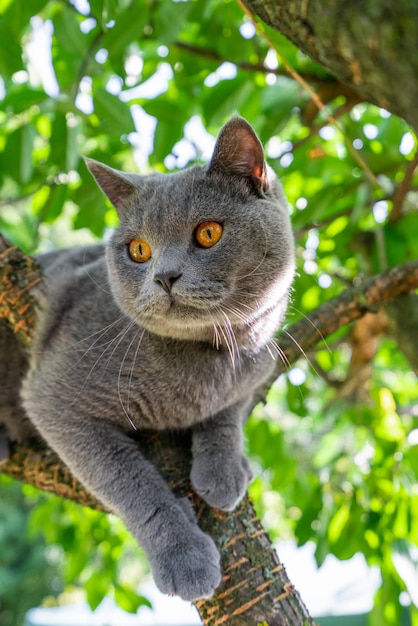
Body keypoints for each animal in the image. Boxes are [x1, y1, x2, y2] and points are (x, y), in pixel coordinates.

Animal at [0, 116, 294, 600]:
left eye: (208, 233)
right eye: (139, 250)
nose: (165, 276)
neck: (212, 356)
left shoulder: (261, 364)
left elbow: (229, 412)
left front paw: (225, 468)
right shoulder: (53, 397)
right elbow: (132, 486)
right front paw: (184, 557)